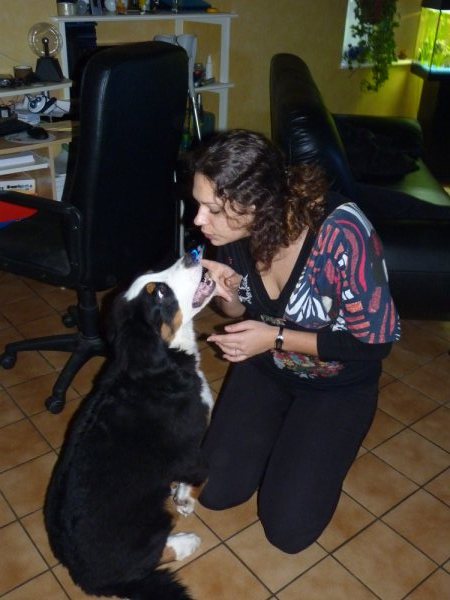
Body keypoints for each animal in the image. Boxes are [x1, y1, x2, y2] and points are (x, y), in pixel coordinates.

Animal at [44, 248, 216, 600]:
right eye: (159, 293)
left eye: (153, 273)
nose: (191, 254)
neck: (164, 361)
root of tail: (85, 578)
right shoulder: (191, 445)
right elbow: (197, 472)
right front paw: (186, 500)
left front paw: (180, 495)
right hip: (151, 523)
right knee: (152, 556)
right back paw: (187, 541)